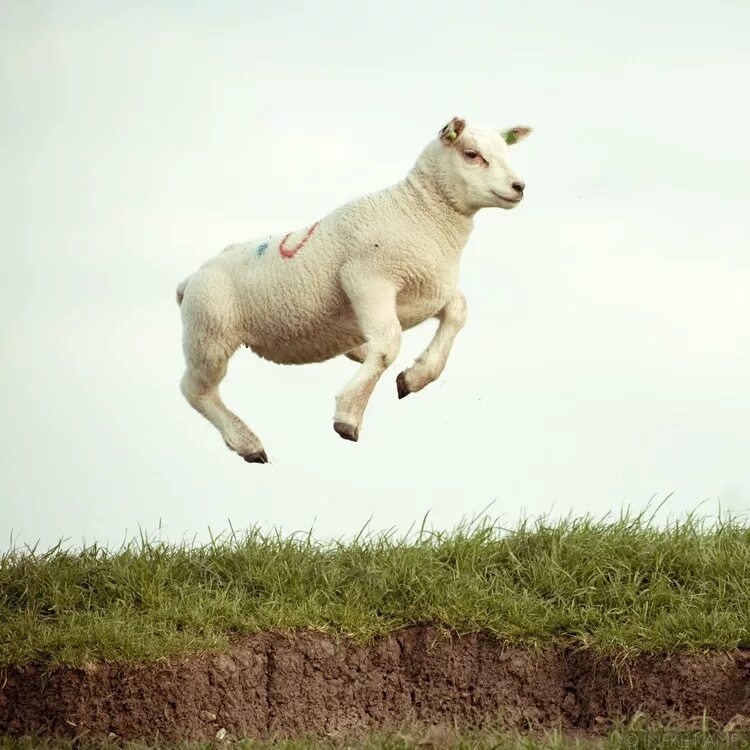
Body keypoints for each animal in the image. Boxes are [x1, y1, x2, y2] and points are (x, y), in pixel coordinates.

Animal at [178, 116, 536, 464]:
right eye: (471, 154)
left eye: (506, 152)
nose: (519, 187)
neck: (420, 215)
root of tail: (192, 277)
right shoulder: (366, 277)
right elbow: (389, 344)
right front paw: (348, 417)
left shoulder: (427, 289)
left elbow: (458, 311)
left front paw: (415, 377)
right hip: (209, 333)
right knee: (195, 390)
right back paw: (247, 443)